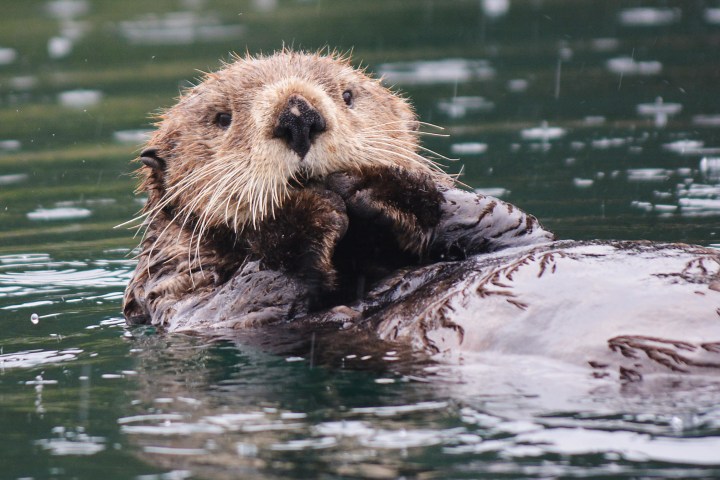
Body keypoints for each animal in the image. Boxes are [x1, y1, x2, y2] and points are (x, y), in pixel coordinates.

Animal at [123, 50, 720, 381]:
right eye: (222, 118)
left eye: (347, 95)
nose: (299, 115)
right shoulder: (180, 302)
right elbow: (237, 305)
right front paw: (306, 209)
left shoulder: (514, 233)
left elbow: (501, 221)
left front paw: (372, 186)